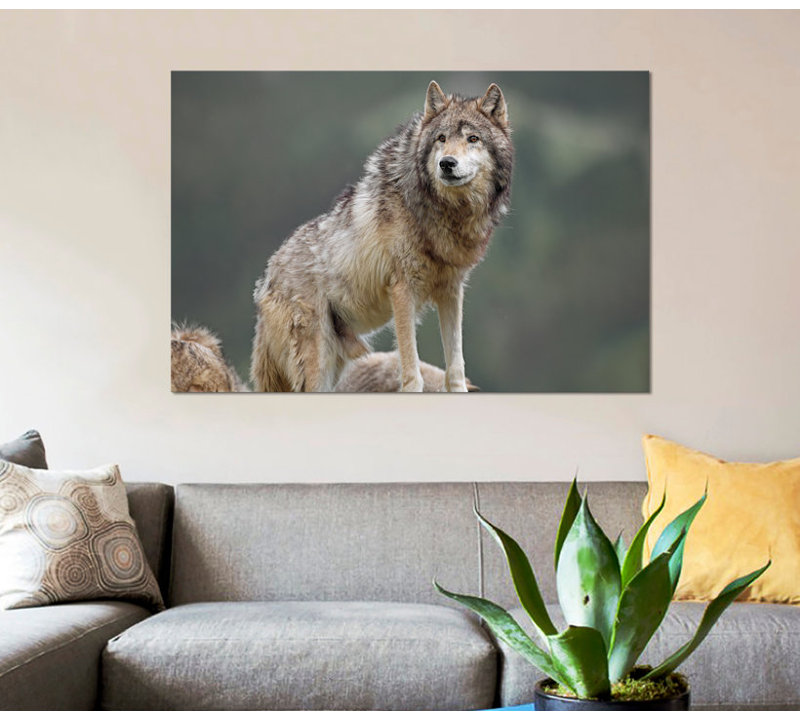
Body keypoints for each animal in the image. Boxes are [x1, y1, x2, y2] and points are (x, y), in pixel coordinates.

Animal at [251, 80, 512, 392]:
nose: (447, 163)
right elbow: (411, 370)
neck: (443, 213)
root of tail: (267, 277)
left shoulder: (451, 292)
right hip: (317, 365)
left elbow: (455, 367)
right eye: (441, 138)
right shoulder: (402, 291)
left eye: (473, 138)